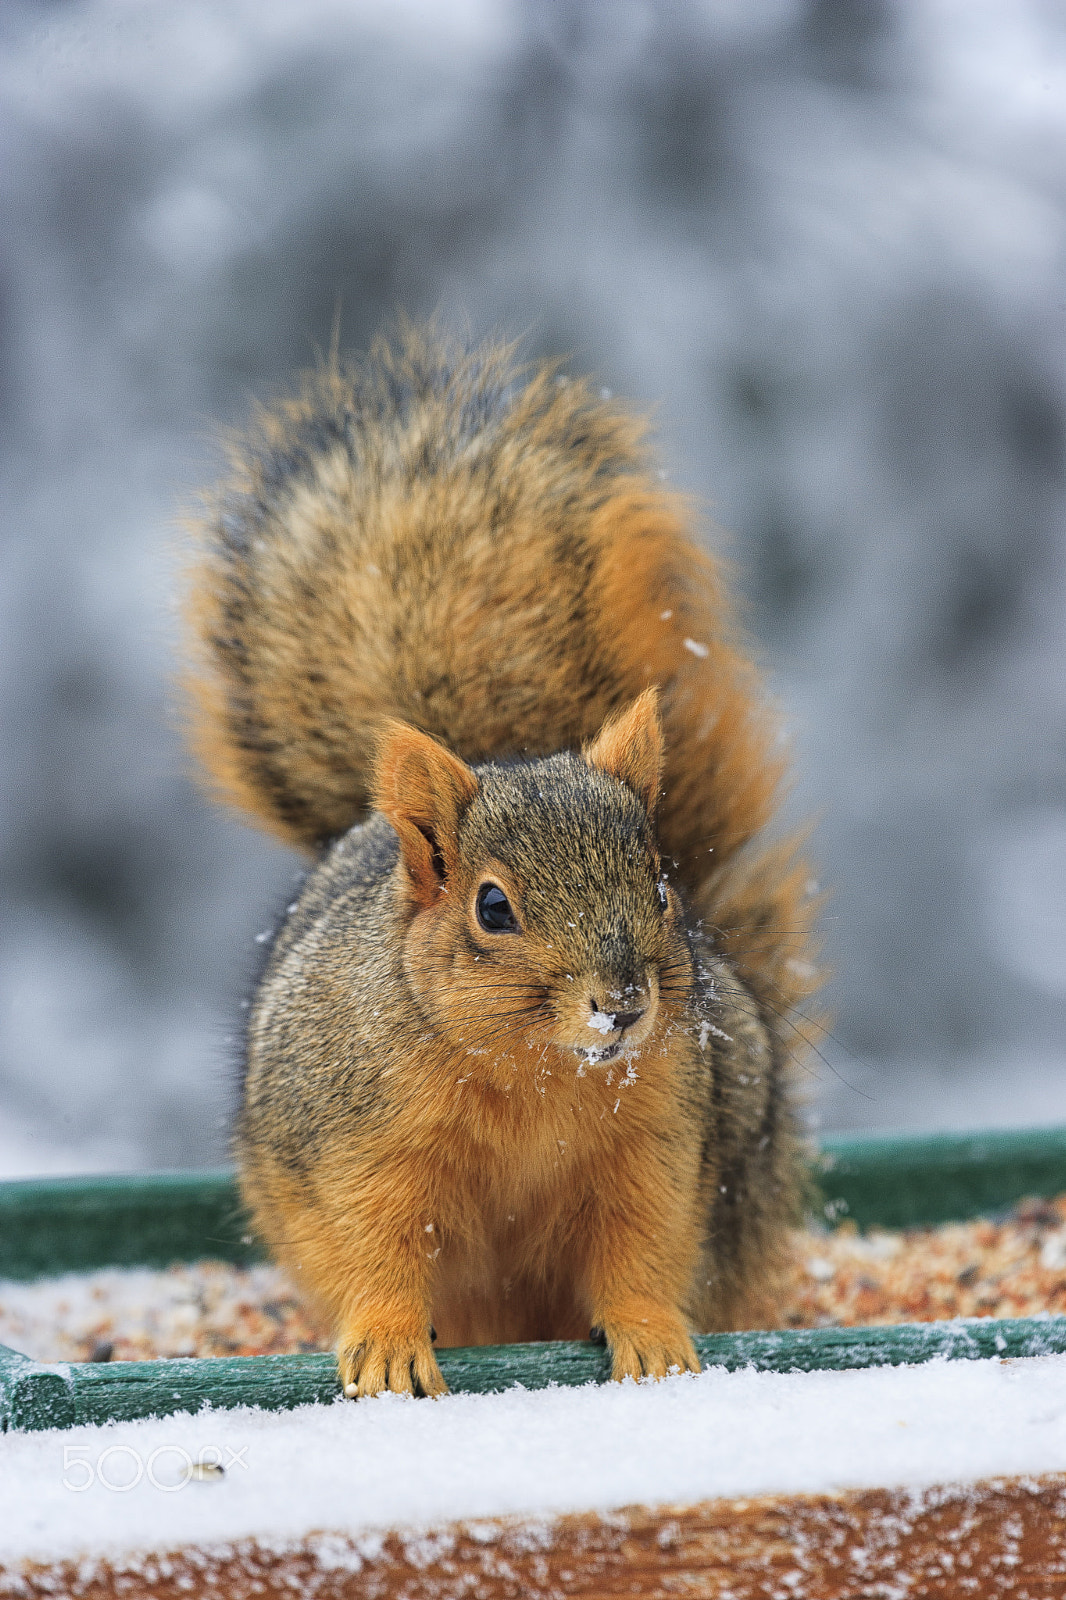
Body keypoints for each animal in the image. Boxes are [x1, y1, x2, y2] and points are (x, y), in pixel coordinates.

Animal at [183, 322, 819, 1398]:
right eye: (491, 908)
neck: (535, 1073)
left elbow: (642, 1247)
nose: (623, 1002)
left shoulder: (658, 1141)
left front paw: (653, 1339)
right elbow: (374, 1246)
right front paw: (389, 1345)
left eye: (661, 885)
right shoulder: (356, 1145)